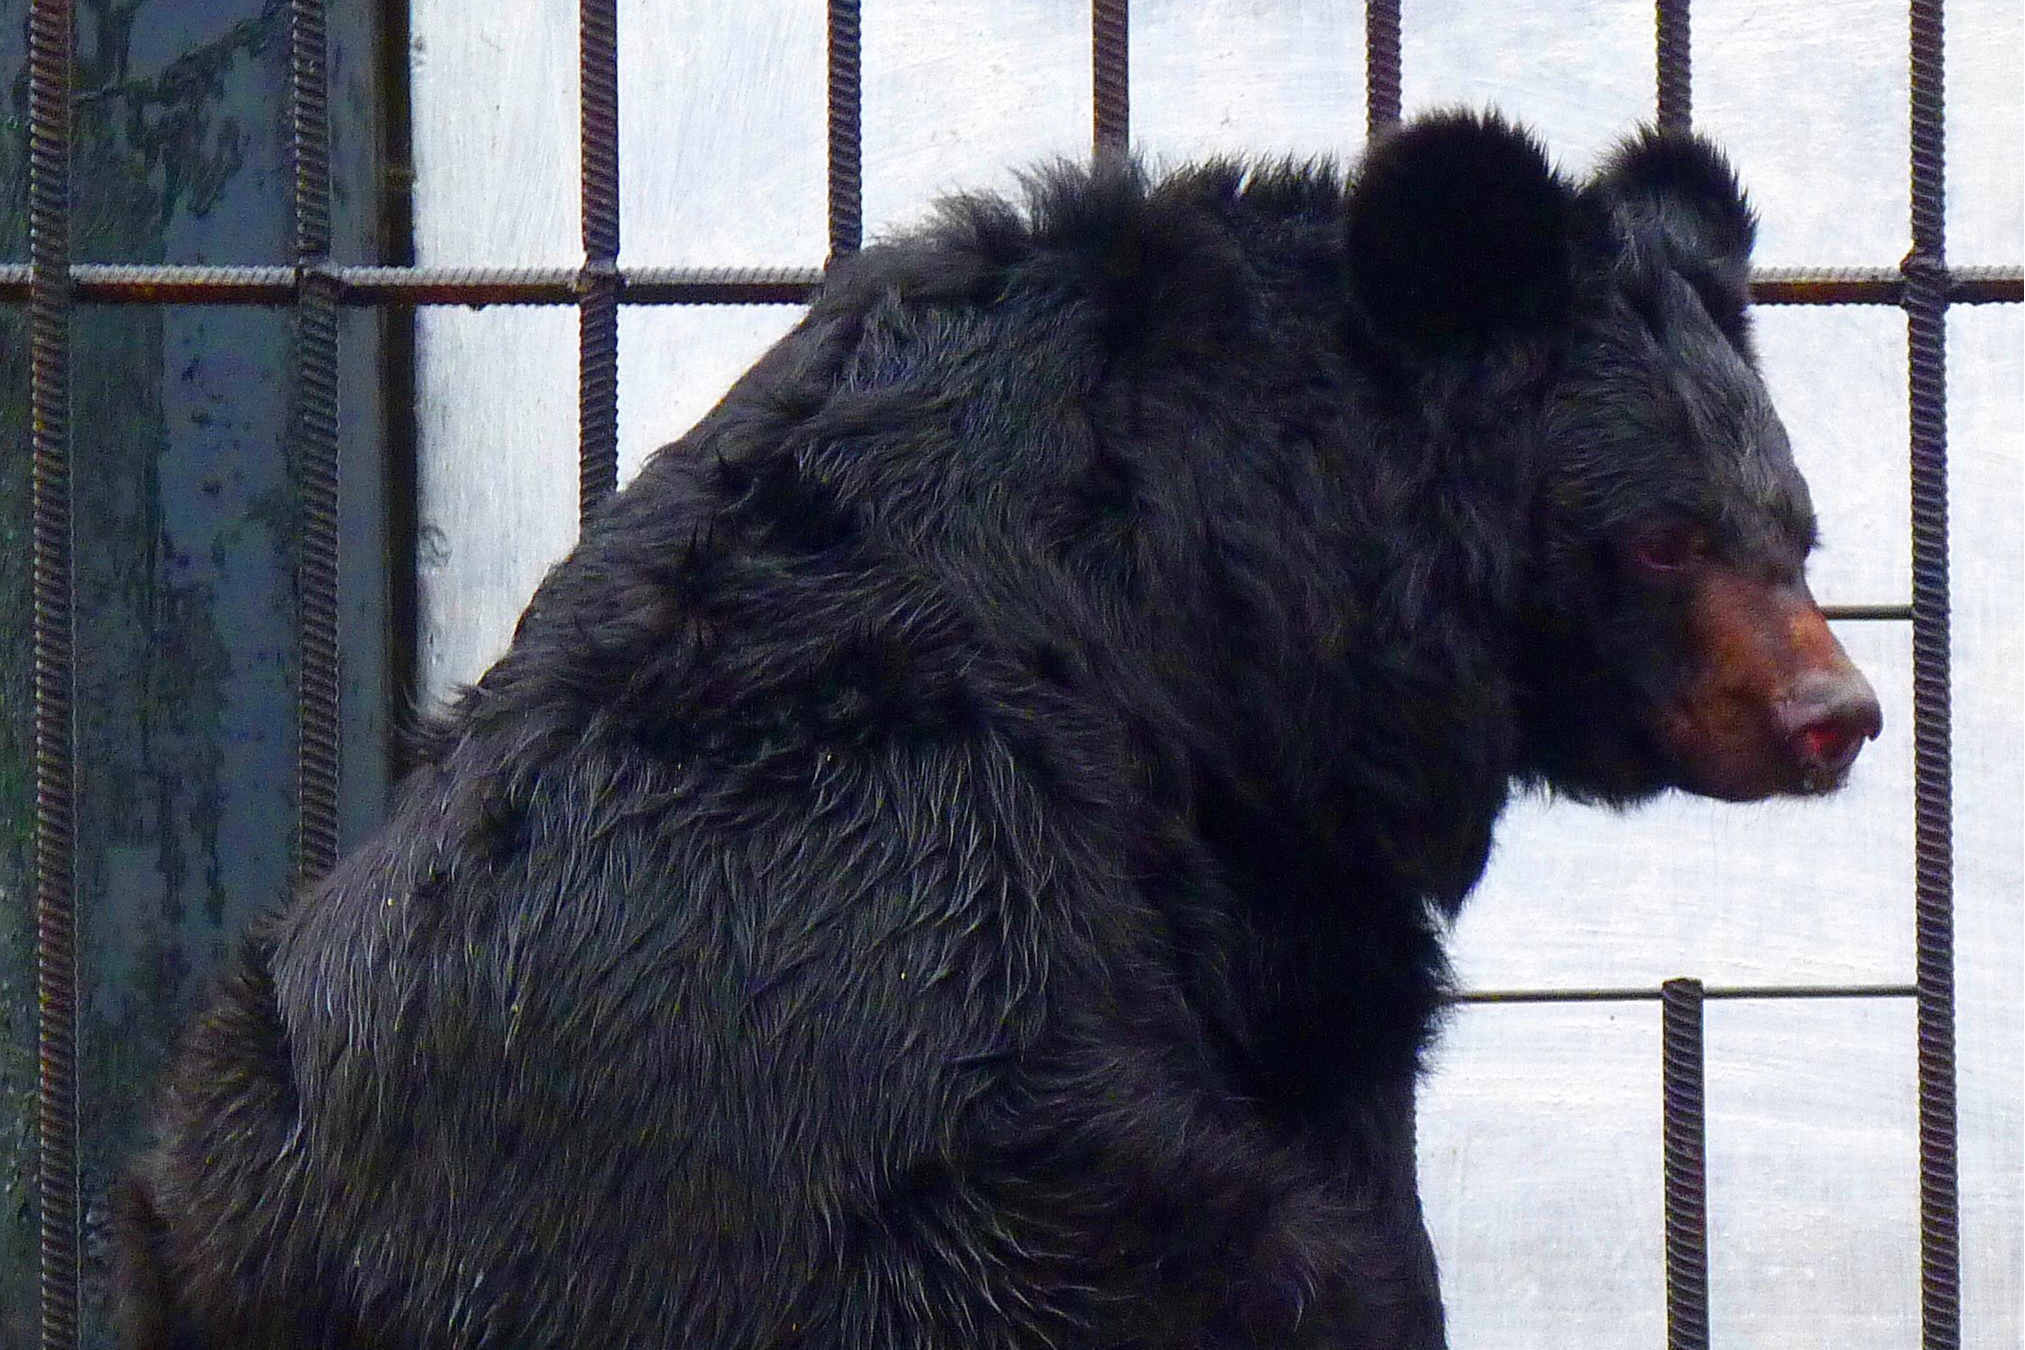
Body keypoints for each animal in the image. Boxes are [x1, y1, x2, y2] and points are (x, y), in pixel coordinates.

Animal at [114, 116, 1879, 1350]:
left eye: (1794, 528)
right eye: (1662, 540)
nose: (1835, 717)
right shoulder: (1260, 848)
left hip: (225, 1166)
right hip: (1031, 1226)